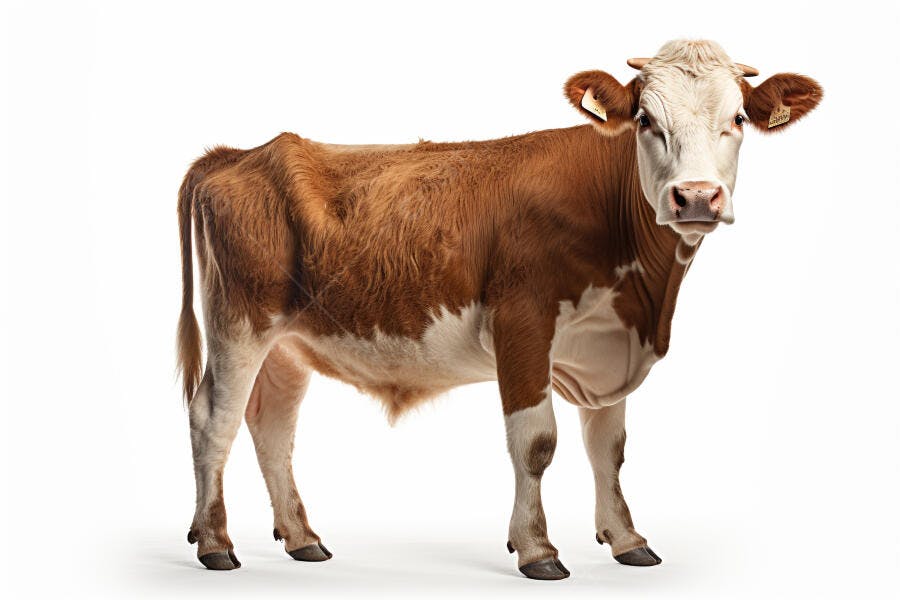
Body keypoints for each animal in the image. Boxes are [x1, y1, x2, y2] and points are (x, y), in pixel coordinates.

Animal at [176, 39, 822, 579]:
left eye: (737, 120)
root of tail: (237, 155)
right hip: (239, 322)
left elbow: (608, 449)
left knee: (272, 426)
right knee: (214, 418)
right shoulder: (522, 324)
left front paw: (627, 539)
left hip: (288, 342)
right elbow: (536, 443)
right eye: (645, 120)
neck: (644, 298)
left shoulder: (608, 344)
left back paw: (302, 537)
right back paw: (215, 543)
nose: (695, 197)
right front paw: (536, 548)